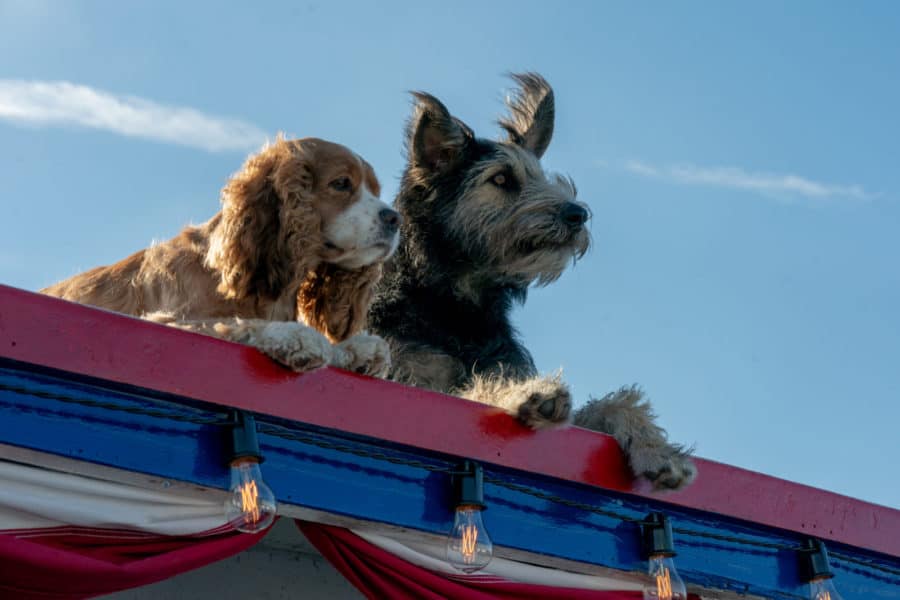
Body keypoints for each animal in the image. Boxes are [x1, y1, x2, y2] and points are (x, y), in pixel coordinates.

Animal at [366, 72, 696, 490]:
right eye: (502, 178)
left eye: (542, 177)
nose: (577, 215)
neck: (458, 307)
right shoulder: (407, 378)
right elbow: (470, 390)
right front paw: (525, 393)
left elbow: (610, 403)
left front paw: (657, 447)